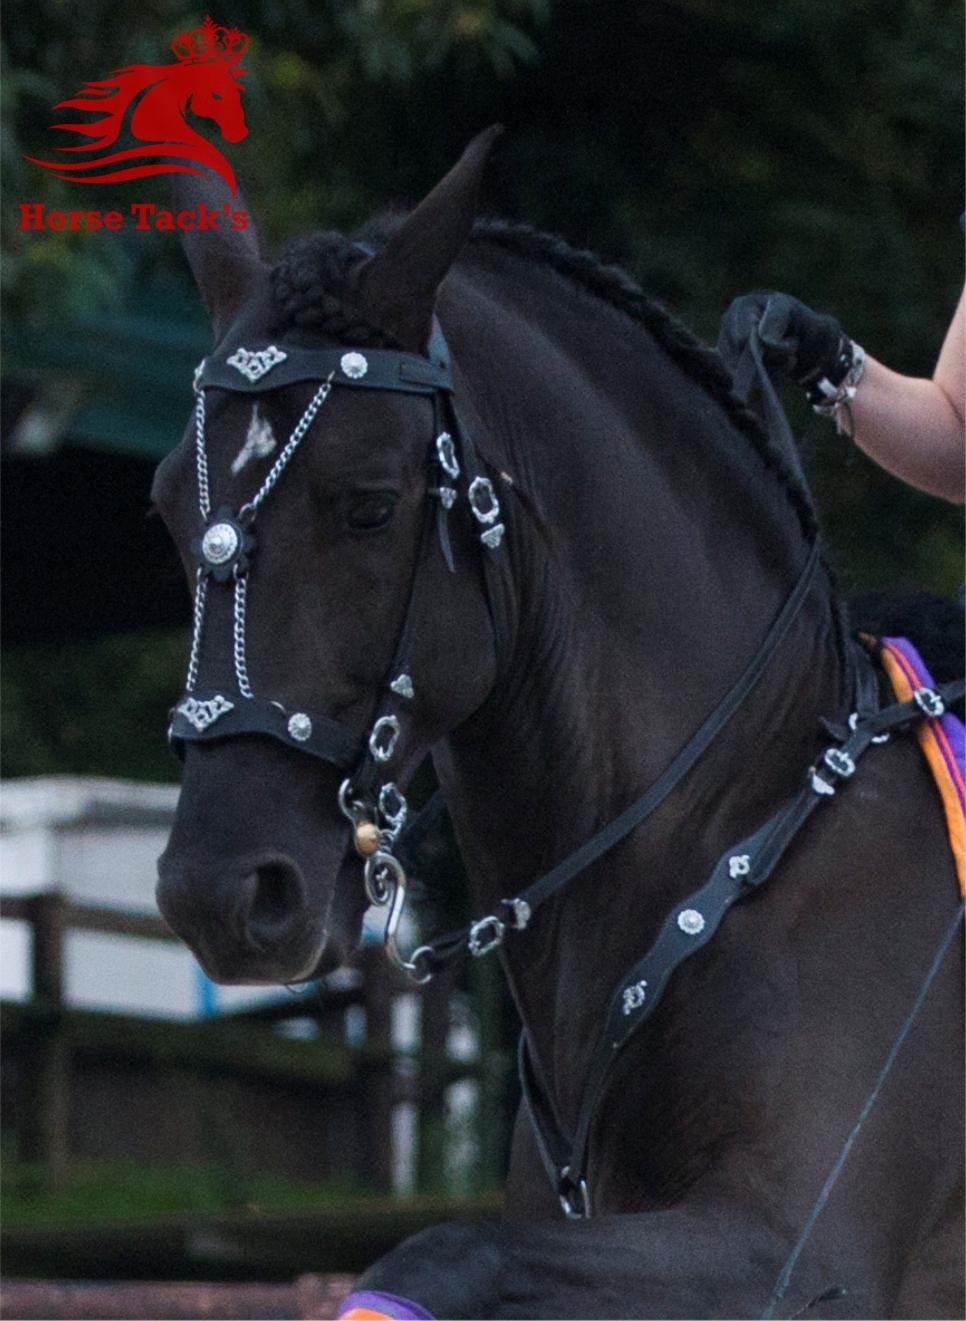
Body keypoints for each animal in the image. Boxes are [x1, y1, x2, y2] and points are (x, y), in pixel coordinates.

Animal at [152, 130, 964, 1318]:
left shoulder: (800, 1255)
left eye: (370, 505)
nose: (218, 892)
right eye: (169, 509)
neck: (739, 831)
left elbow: (437, 1253)